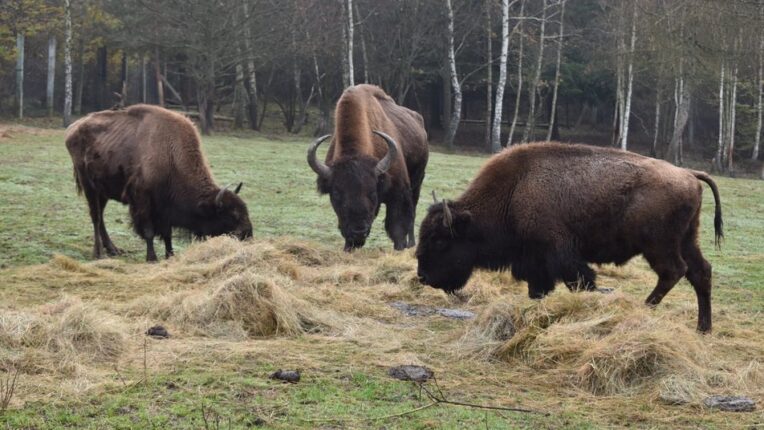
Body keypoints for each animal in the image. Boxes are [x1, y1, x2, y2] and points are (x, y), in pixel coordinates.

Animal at [64, 104, 252, 262]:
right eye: (232, 216)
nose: (248, 235)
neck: (171, 155)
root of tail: (72, 129)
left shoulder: (165, 208)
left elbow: (167, 233)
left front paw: (170, 255)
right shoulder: (143, 201)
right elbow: (149, 231)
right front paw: (152, 258)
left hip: (103, 191)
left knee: (100, 216)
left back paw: (113, 249)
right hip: (89, 187)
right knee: (96, 217)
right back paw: (99, 253)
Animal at [310, 84, 430, 252]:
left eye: (373, 192)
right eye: (336, 194)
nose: (358, 232)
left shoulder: (399, 193)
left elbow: (397, 227)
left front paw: (400, 248)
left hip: (418, 181)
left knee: (413, 210)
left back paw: (411, 244)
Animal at [418, 143, 724, 334]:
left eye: (439, 240)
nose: (422, 276)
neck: (513, 192)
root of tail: (689, 174)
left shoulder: (560, 255)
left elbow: (581, 281)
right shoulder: (536, 264)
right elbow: (538, 289)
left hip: (659, 245)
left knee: (673, 271)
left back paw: (645, 308)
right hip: (687, 239)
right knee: (700, 272)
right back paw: (703, 328)